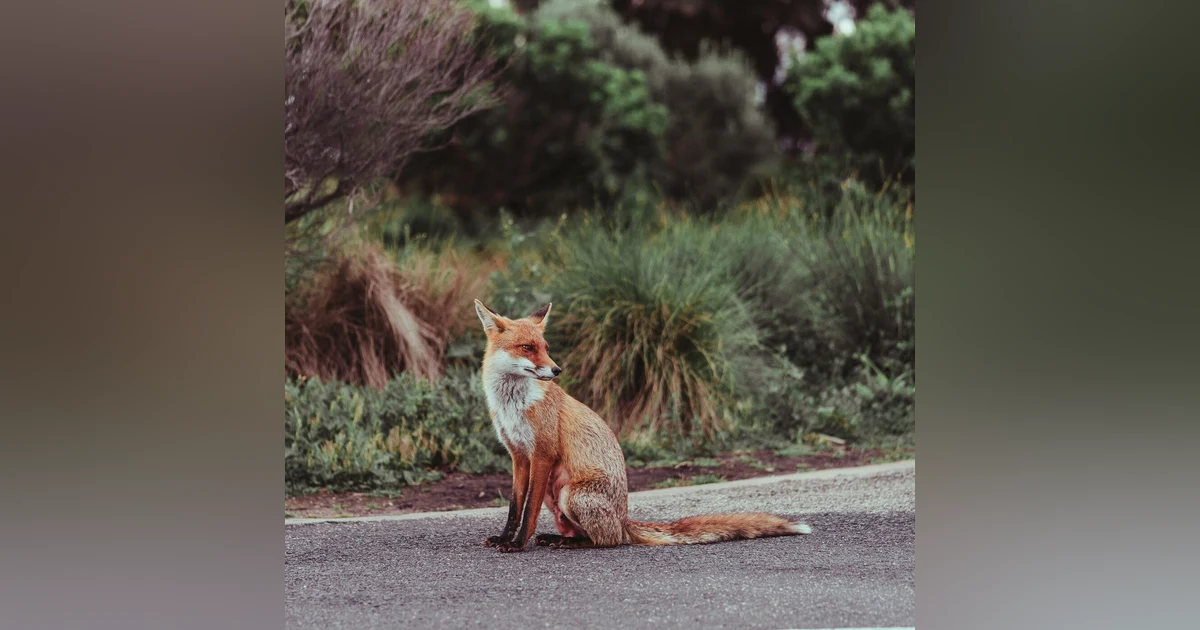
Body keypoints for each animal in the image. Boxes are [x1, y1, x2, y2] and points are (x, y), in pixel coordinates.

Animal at [473, 299, 812, 552]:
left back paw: (573, 542)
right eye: (527, 348)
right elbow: (515, 507)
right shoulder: (519, 456)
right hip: (557, 500)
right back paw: (557, 538)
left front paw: (517, 544)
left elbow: (528, 510)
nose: (557, 370)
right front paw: (505, 538)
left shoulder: (542, 454)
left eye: (545, 346)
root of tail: (625, 520)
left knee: (607, 540)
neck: (512, 406)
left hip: (571, 494)